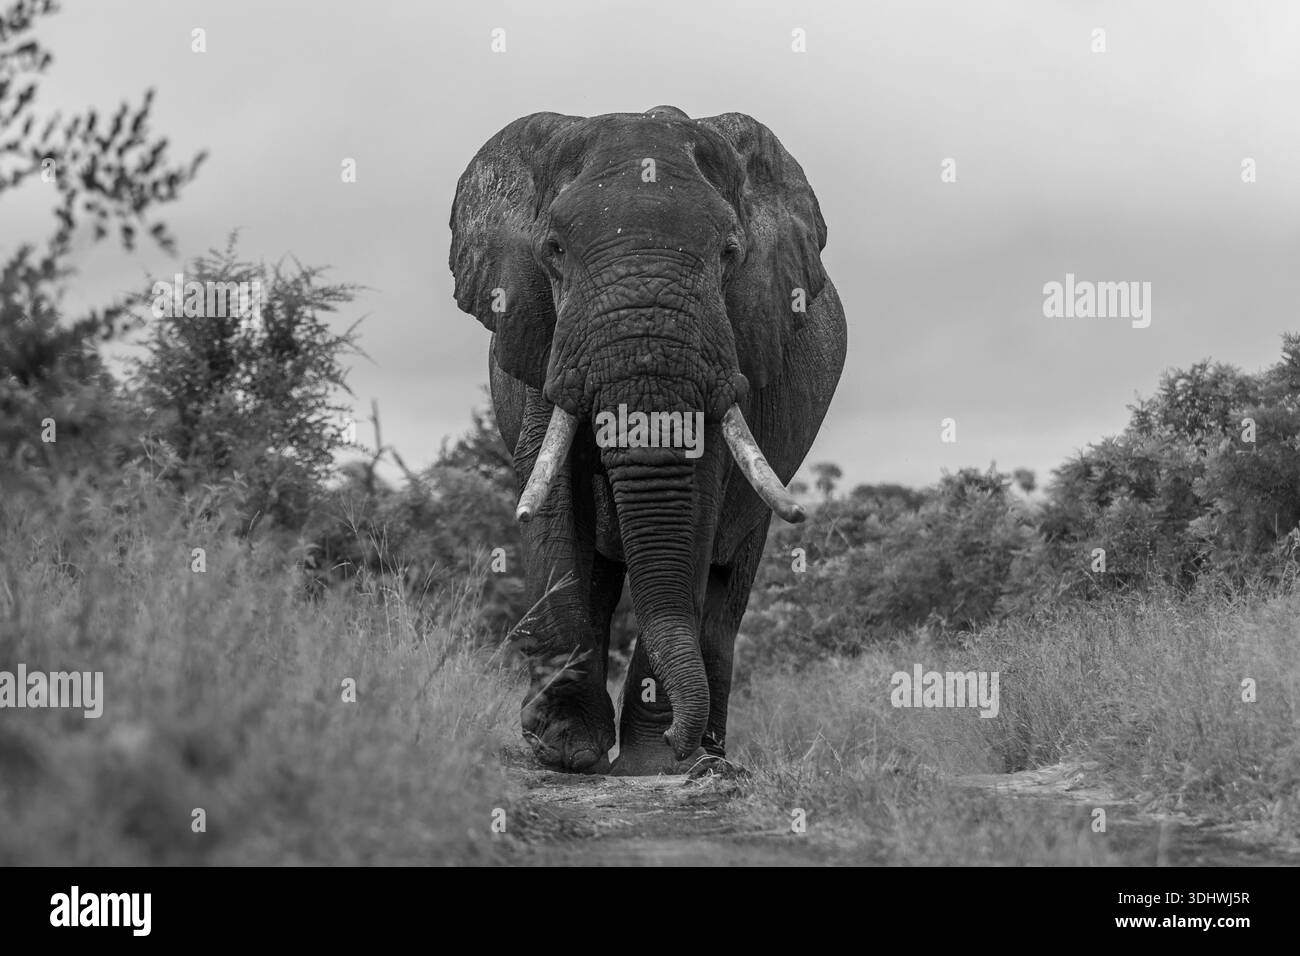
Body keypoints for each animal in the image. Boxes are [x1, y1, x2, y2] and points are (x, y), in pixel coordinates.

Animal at [448, 105, 846, 775]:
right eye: (553, 249)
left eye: (730, 252)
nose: (682, 745)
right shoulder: (544, 335)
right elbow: (554, 498)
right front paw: (562, 749)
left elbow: (698, 511)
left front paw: (653, 765)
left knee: (724, 589)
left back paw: (707, 748)